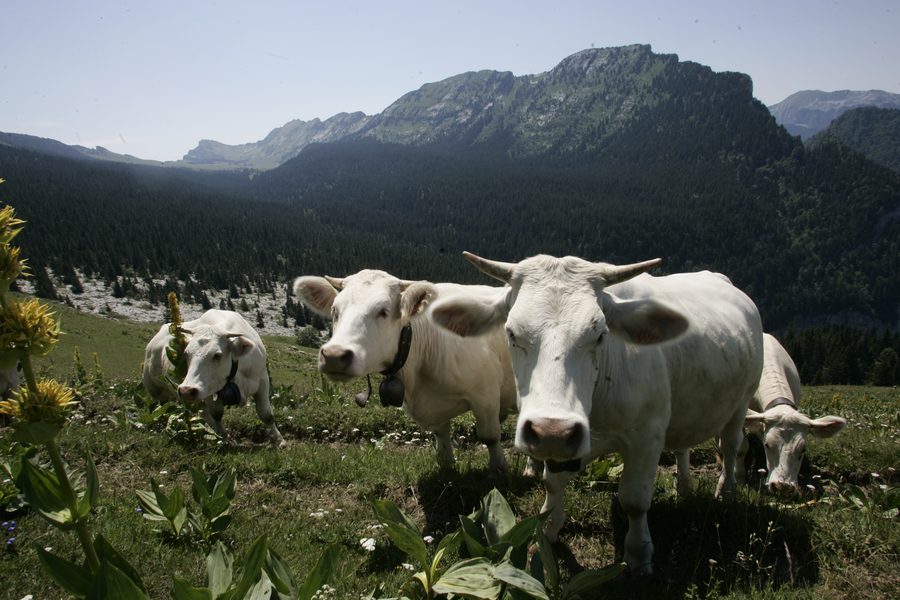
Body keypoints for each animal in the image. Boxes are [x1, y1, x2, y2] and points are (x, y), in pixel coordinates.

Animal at [142, 309, 285, 447]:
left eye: (217, 355)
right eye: (186, 353)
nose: (186, 390)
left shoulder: (262, 380)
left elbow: (266, 414)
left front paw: (279, 440)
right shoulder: (208, 390)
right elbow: (217, 415)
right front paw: (223, 437)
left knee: (202, 412)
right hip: (155, 390)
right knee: (163, 408)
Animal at [292, 269, 518, 474]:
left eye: (383, 311)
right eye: (335, 310)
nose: (334, 355)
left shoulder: (486, 394)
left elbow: (490, 436)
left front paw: (499, 469)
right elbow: (442, 438)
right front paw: (447, 466)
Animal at [431, 252, 763, 574]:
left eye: (601, 335)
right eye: (511, 333)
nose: (552, 432)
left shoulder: (647, 437)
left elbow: (635, 500)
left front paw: (638, 555)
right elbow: (552, 483)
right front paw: (548, 529)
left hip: (741, 401)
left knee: (731, 445)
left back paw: (727, 491)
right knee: (683, 446)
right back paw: (683, 486)